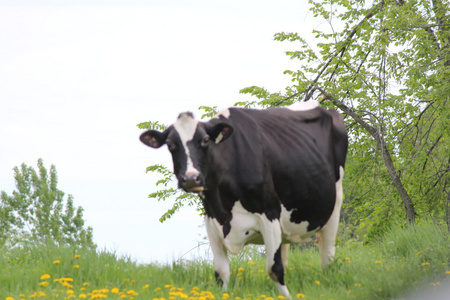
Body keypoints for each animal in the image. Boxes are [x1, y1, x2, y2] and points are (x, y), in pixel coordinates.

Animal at [140, 99, 348, 296]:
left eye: (206, 140)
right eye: (170, 144)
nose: (191, 178)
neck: (224, 206)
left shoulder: (270, 213)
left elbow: (274, 269)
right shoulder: (212, 220)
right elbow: (221, 272)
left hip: (335, 203)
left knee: (327, 256)